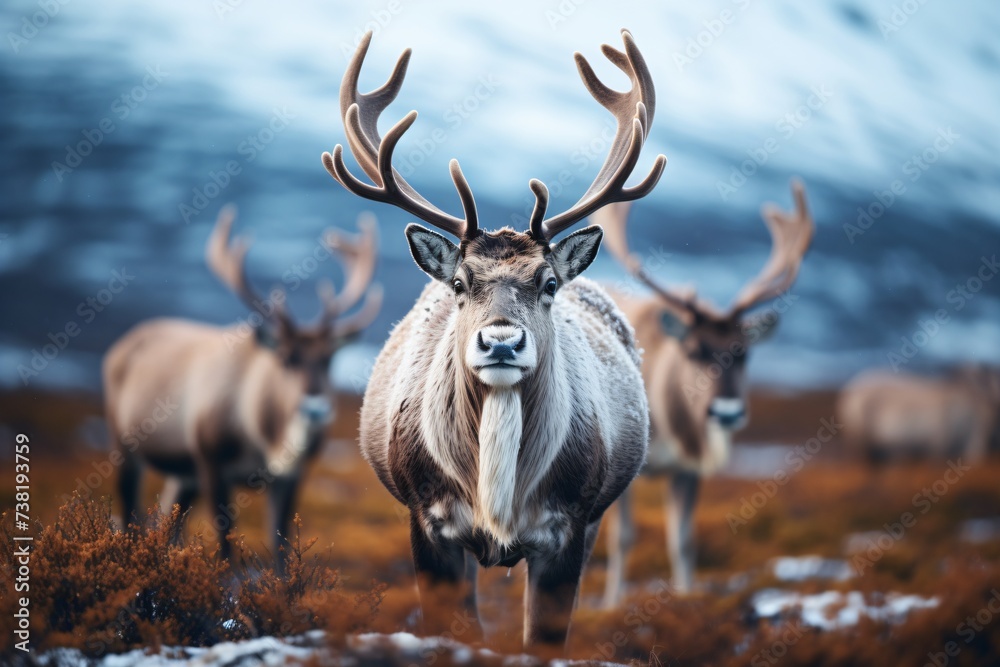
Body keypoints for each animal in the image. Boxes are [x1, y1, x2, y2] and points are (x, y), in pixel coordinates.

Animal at [103, 205, 382, 566]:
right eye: (287, 358)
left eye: (329, 358)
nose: (316, 408)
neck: (265, 437)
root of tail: (120, 346)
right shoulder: (210, 460)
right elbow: (225, 543)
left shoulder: (290, 477)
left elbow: (281, 546)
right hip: (125, 443)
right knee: (130, 514)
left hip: (182, 474)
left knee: (167, 519)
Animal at [320, 29, 666, 646]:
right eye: (460, 281)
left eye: (548, 282)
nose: (501, 342)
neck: (496, 501)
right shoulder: (427, 520)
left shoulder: (569, 525)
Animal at [591, 181, 813, 605]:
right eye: (694, 350)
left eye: (744, 352)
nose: (725, 412)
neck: (667, 426)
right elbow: (622, 538)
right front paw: (609, 605)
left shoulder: (688, 468)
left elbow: (684, 540)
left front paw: (686, 597)